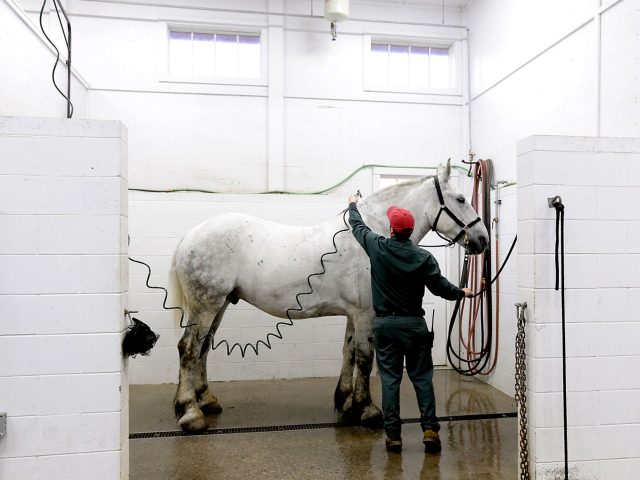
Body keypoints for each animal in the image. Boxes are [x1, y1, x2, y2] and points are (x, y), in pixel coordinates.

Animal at [172, 160, 488, 432]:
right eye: (461, 199)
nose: (482, 239)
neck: (370, 236)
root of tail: (190, 236)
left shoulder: (354, 314)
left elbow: (348, 353)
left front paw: (345, 405)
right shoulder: (365, 313)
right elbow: (365, 358)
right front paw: (367, 410)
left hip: (219, 305)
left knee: (203, 347)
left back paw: (206, 401)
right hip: (206, 306)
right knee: (189, 349)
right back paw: (190, 413)